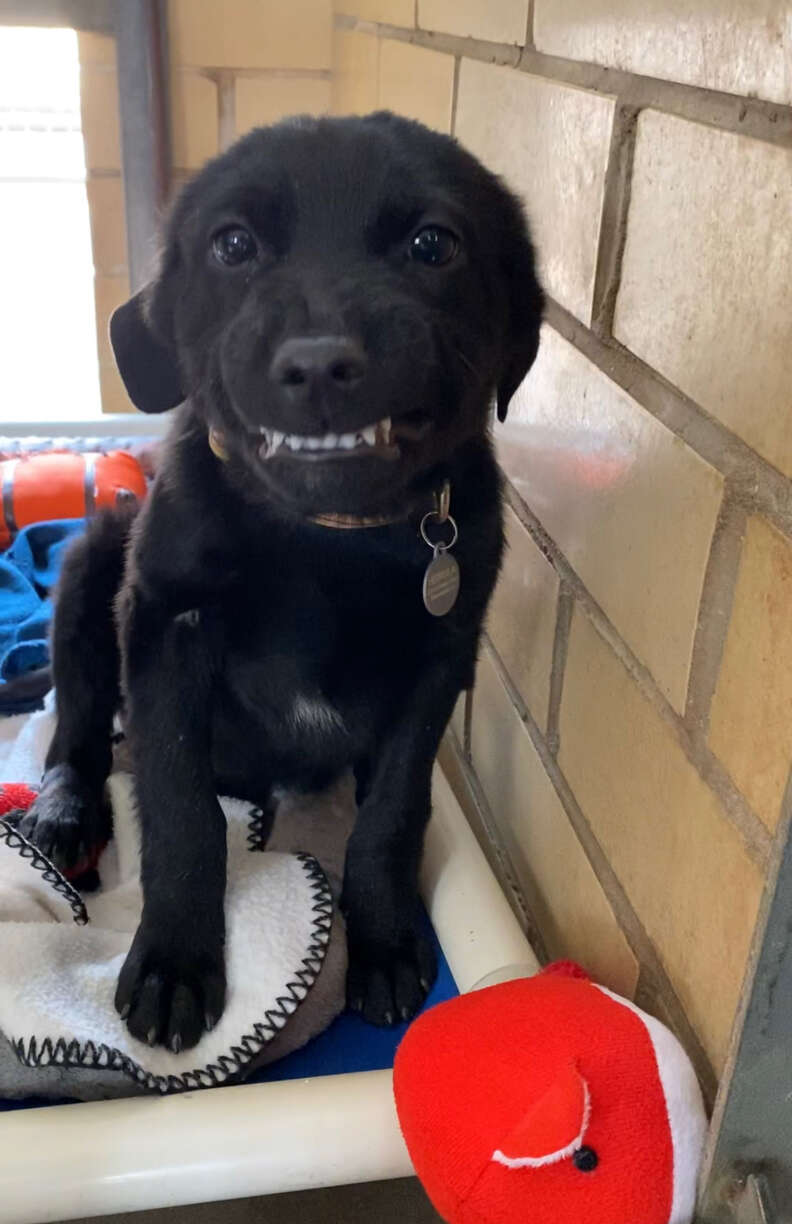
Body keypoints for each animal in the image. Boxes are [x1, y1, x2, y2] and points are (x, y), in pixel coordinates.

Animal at [18, 115, 541, 1052]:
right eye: (233, 245)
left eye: (433, 244)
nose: (320, 365)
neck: (325, 537)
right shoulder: (164, 627)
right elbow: (181, 808)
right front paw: (174, 961)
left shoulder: (439, 661)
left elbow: (392, 812)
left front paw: (383, 939)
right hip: (91, 564)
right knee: (74, 733)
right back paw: (64, 812)